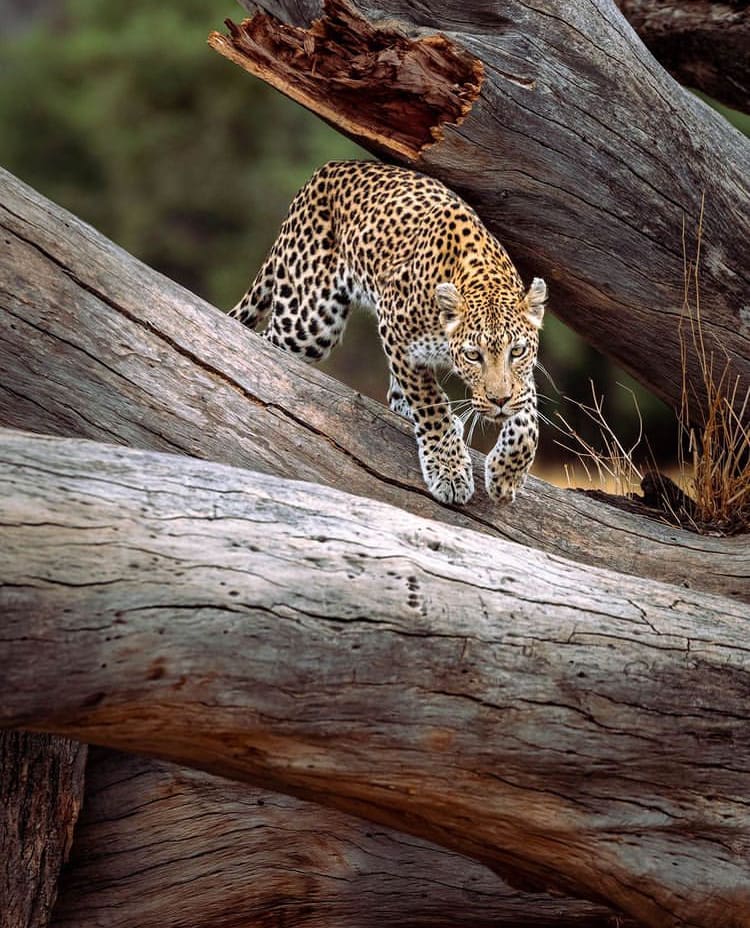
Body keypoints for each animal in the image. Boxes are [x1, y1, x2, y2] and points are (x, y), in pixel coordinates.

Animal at [230, 160, 546, 505]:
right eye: (473, 356)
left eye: (517, 351)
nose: (499, 400)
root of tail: (323, 172)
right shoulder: (395, 331)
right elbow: (430, 403)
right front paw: (448, 470)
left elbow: (528, 415)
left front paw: (506, 474)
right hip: (308, 321)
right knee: (264, 346)